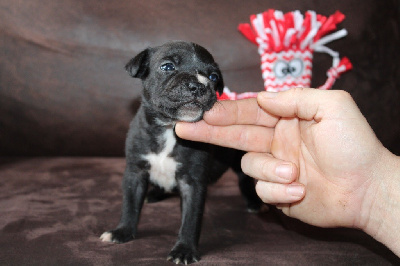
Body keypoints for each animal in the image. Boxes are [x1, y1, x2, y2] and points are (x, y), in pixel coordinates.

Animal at [100, 41, 262, 264]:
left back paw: (253, 202)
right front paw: (122, 231)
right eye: (167, 66)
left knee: (244, 178)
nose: (199, 85)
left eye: (213, 77)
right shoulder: (135, 172)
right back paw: (155, 193)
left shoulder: (192, 183)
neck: (169, 128)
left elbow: (190, 219)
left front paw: (184, 250)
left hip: (238, 158)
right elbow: (130, 204)